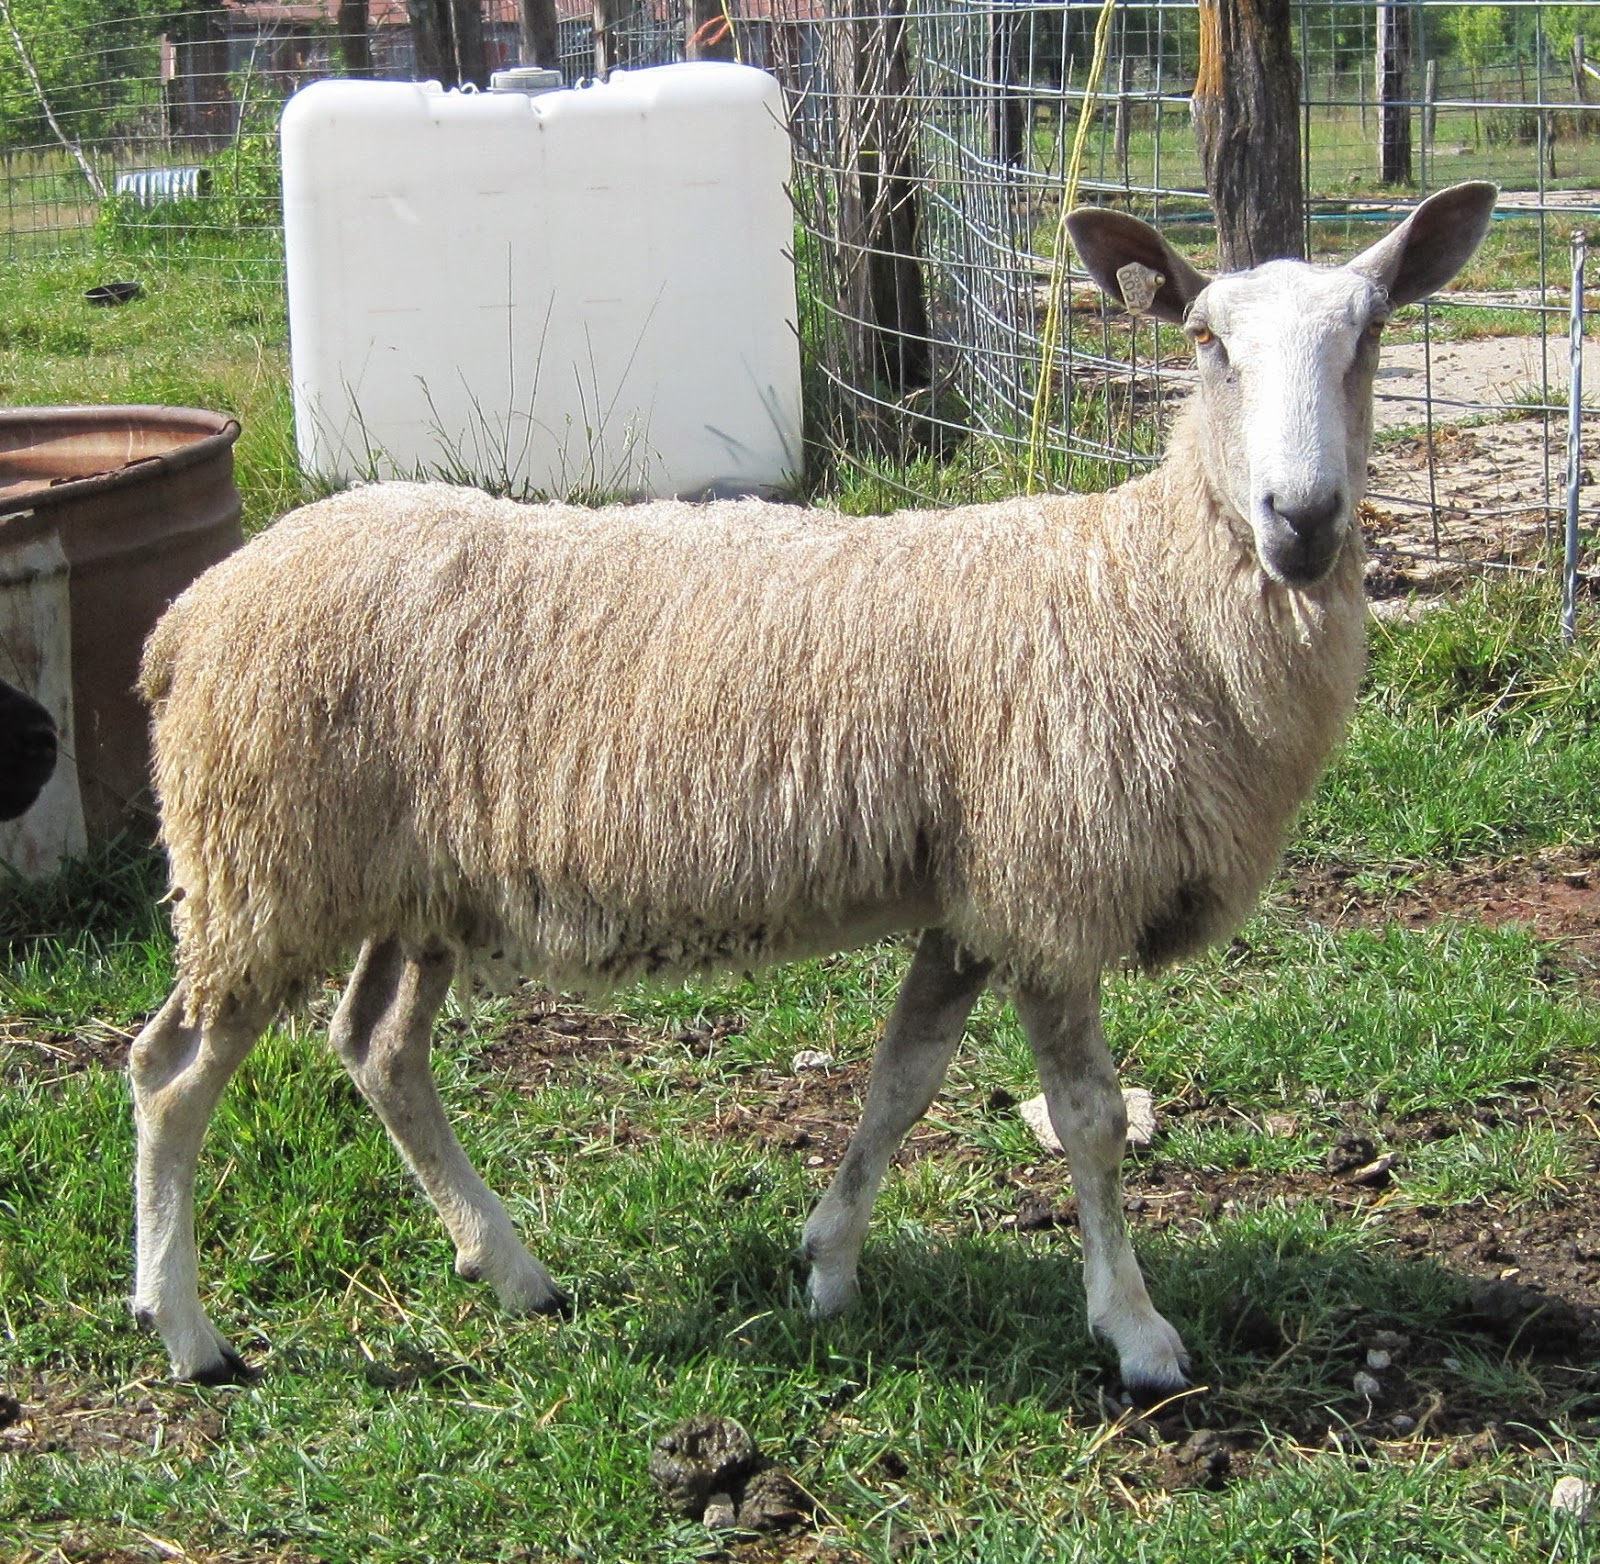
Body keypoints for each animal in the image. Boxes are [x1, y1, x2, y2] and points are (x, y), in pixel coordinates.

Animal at [129, 181, 1496, 1395]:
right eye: (1207, 342)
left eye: (1371, 332)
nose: (1302, 518)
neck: (1138, 583)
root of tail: (192, 611)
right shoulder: (1047, 889)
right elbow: (1089, 1119)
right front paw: (1136, 1332)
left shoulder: (973, 897)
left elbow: (901, 1080)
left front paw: (828, 1263)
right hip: (261, 863)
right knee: (172, 1072)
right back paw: (187, 1330)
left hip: (405, 883)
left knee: (377, 1049)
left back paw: (510, 1268)